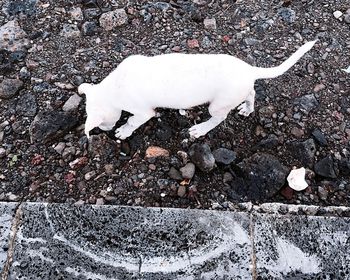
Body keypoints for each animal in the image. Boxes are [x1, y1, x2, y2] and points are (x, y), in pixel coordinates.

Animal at [78, 40, 318, 139]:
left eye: (101, 123)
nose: (106, 131)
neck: (113, 86)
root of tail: (249, 70)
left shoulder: (143, 112)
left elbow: (132, 121)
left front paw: (124, 131)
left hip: (218, 105)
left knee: (218, 118)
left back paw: (200, 129)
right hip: (240, 91)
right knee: (251, 93)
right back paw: (247, 109)